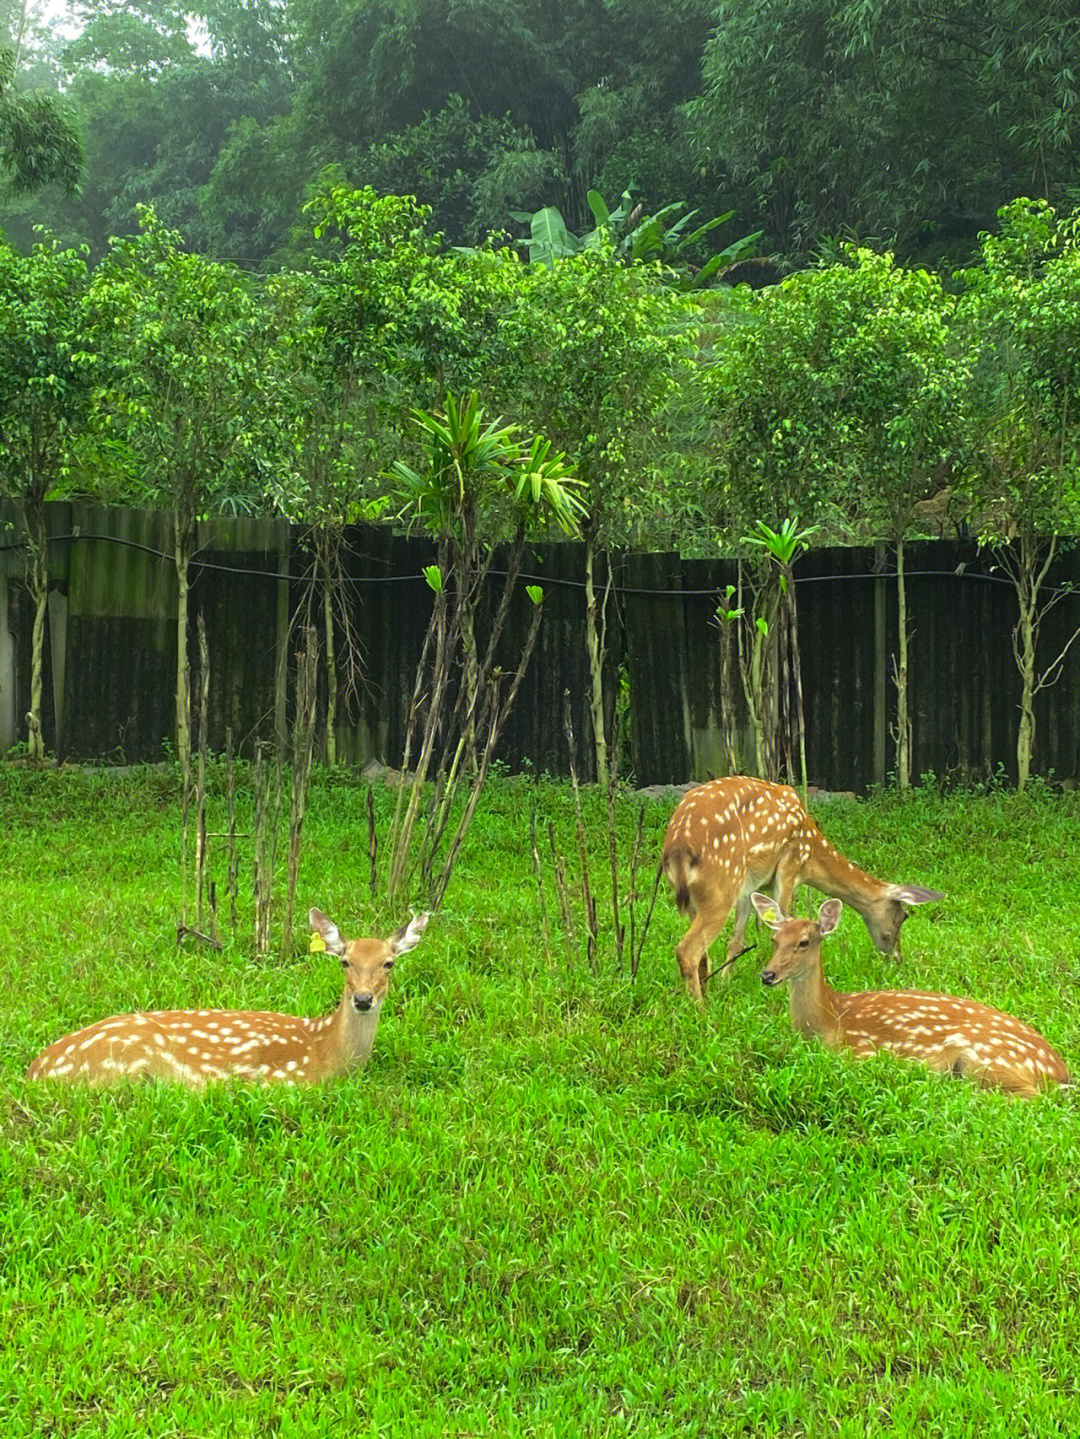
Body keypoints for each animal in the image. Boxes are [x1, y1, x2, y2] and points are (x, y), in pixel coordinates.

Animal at [27, 909, 428, 1087]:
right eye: (345, 961)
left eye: (389, 963)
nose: (363, 999)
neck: (325, 1051)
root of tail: (35, 1071)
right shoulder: (280, 1081)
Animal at [655, 782, 943, 1007]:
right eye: (903, 917)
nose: (897, 958)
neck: (811, 855)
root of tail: (678, 844)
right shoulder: (790, 860)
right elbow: (779, 924)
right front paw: (780, 988)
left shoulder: (750, 884)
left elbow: (736, 940)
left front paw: (726, 985)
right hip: (720, 885)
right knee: (687, 950)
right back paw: (700, 1010)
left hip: (699, 895)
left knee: (702, 952)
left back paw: (705, 993)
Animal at [753, 886, 1069, 1099]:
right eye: (774, 939)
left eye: (804, 942)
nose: (768, 975)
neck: (829, 1020)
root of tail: (1058, 1073)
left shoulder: (863, 1052)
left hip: (987, 1060)